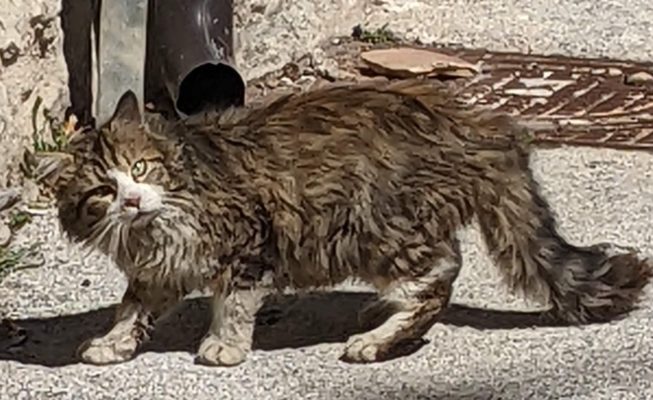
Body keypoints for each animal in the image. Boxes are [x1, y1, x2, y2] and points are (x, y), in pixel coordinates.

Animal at [42, 78, 652, 366]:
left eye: (140, 169)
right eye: (102, 191)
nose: (132, 200)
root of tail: (479, 128)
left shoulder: (248, 242)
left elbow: (233, 304)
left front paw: (224, 345)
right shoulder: (160, 269)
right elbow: (132, 310)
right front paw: (114, 343)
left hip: (374, 227)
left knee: (440, 275)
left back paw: (377, 339)